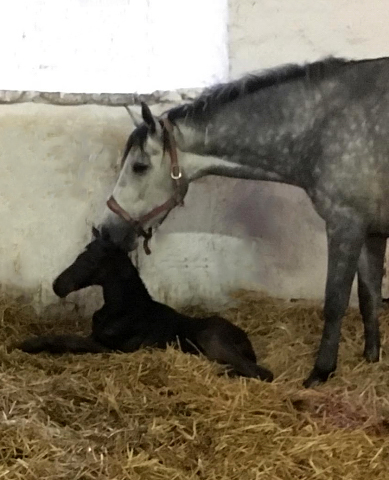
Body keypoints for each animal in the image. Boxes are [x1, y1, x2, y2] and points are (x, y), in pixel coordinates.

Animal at [17, 229, 272, 382]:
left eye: (90, 259)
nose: (57, 285)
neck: (125, 308)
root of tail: (247, 341)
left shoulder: (108, 347)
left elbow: (66, 340)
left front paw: (26, 344)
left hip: (212, 338)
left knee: (262, 373)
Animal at [98, 57, 388, 386]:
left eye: (139, 166)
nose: (107, 230)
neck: (324, 128)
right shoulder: (370, 231)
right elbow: (370, 297)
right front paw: (371, 357)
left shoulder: (345, 225)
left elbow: (336, 302)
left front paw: (320, 372)